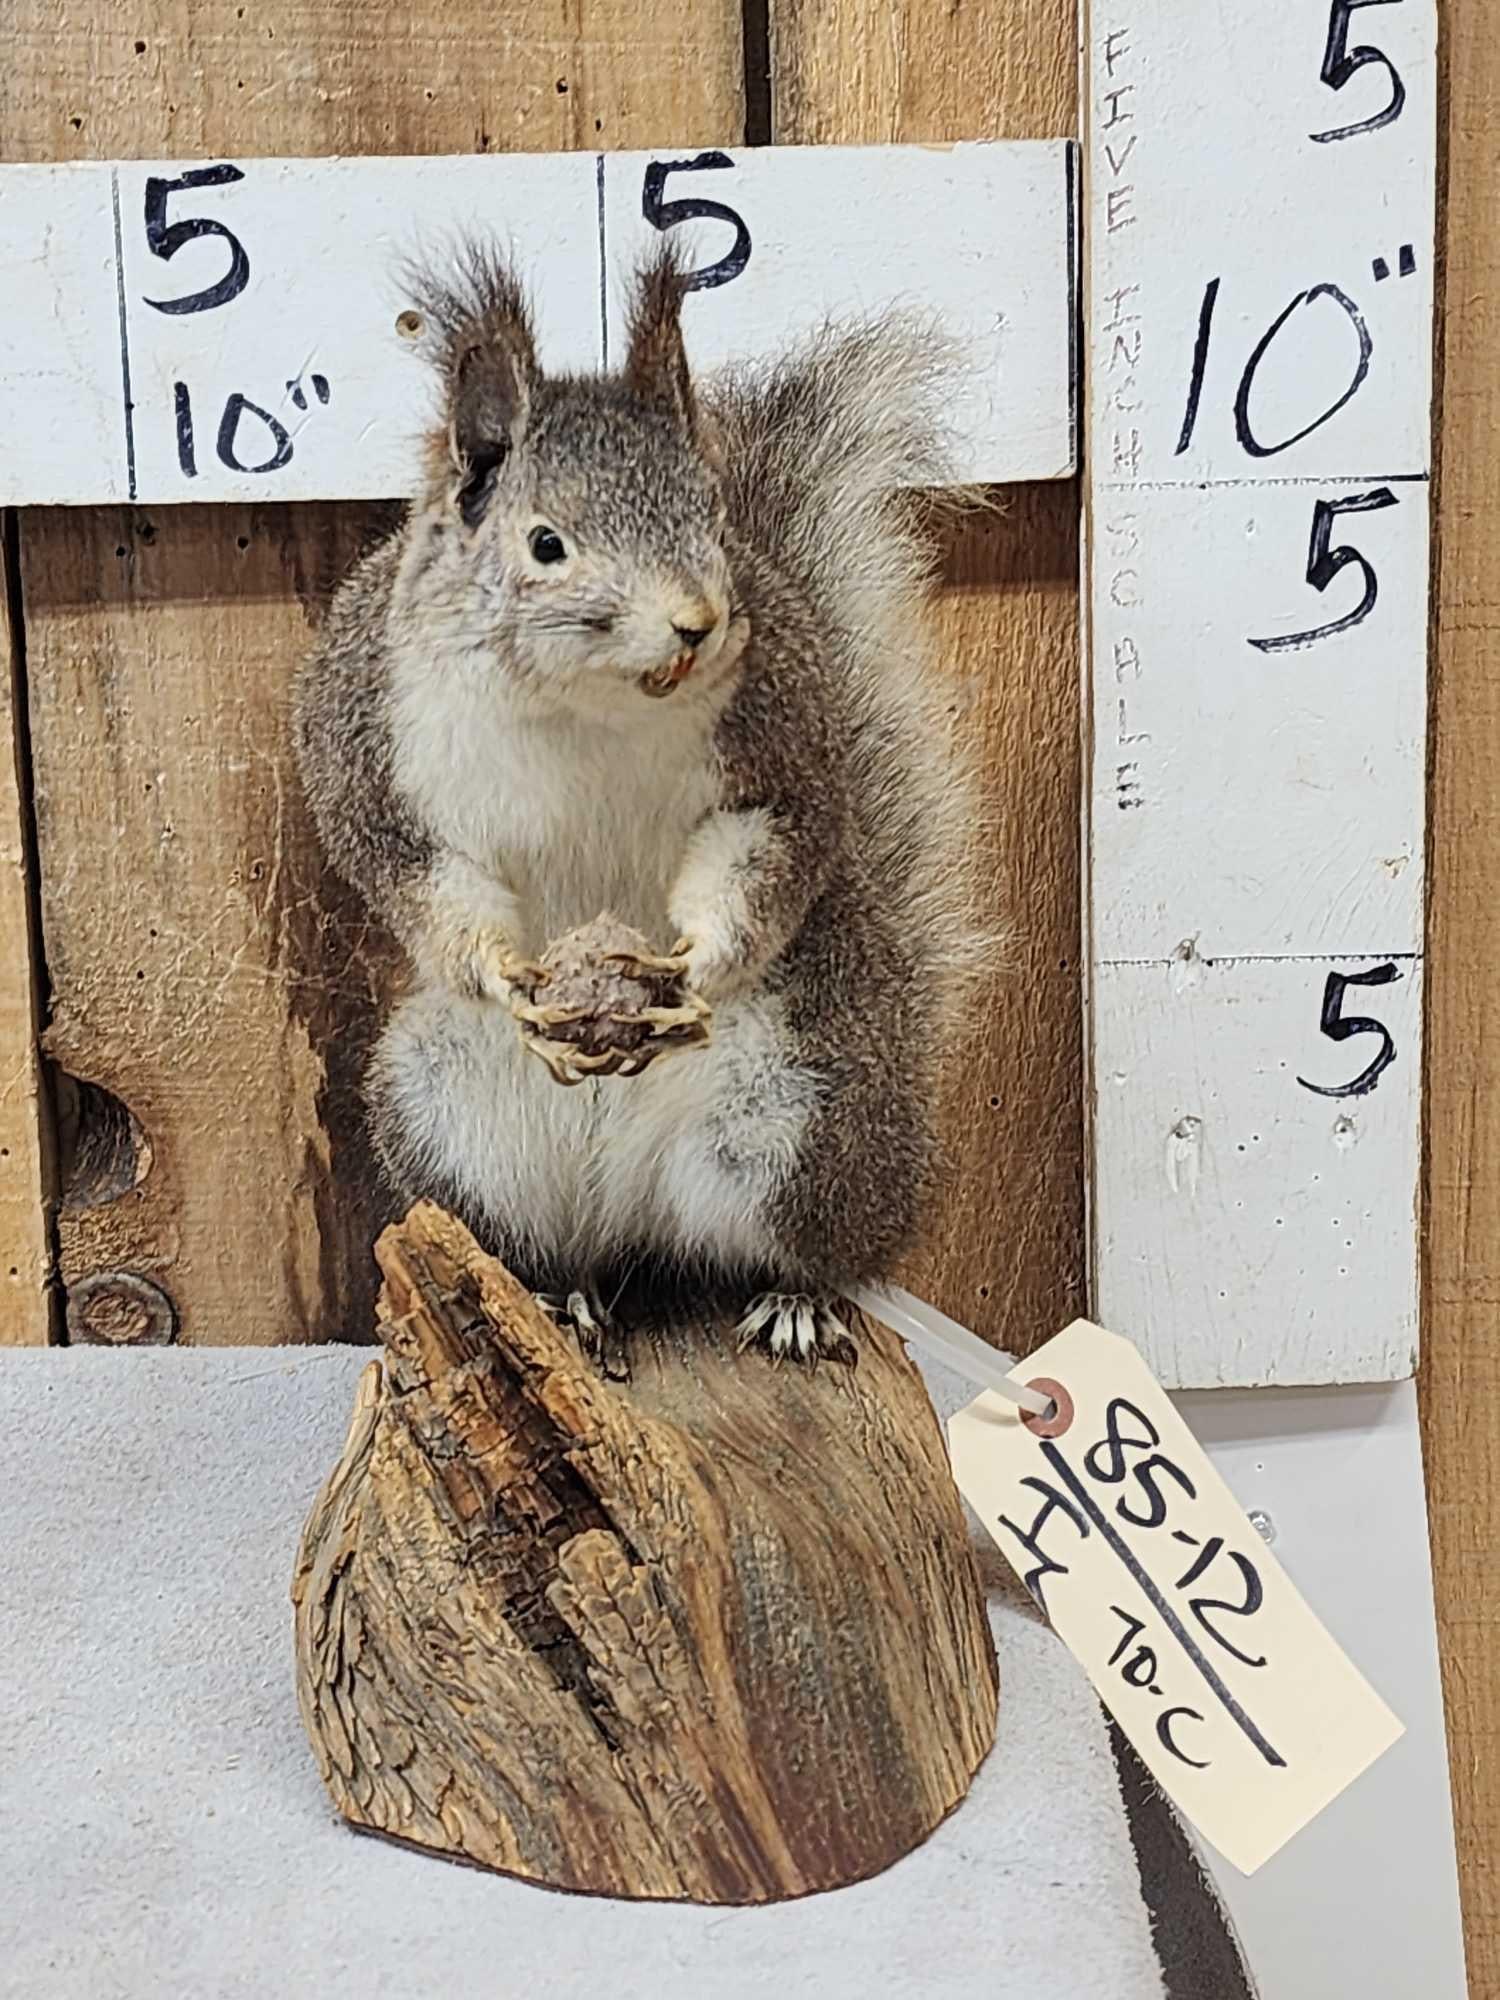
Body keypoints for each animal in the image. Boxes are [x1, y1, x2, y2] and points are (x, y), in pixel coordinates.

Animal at [293, 239, 987, 1364]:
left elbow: (782, 837)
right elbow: (403, 867)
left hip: (812, 1118)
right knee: (547, 1241)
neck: (586, 702)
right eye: (544, 543)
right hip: (441, 1116)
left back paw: (796, 1299)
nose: (698, 623)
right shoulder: (359, 724)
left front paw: (692, 965)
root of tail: (632, 1206)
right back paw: (559, 1295)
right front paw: (510, 977)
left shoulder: (787, 732)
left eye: (711, 518)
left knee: (817, 1244)